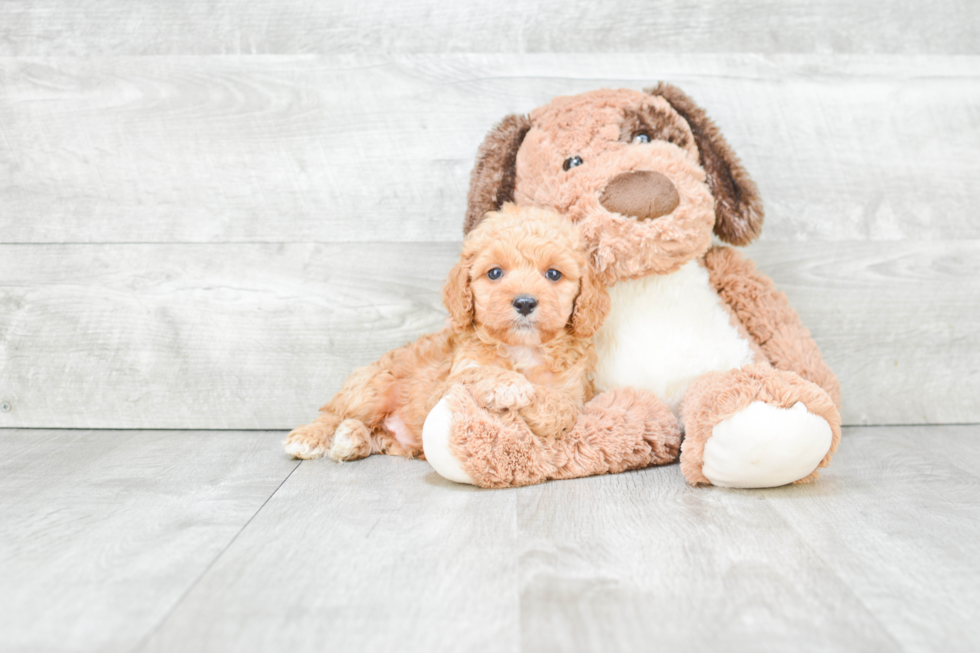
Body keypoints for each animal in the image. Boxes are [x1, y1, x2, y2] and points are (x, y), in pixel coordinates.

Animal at [280, 204, 608, 464]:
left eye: (553, 274)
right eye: (495, 273)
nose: (525, 302)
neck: (523, 348)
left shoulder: (575, 391)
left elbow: (561, 407)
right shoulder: (450, 383)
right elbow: (479, 373)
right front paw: (511, 384)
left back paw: (351, 439)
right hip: (373, 386)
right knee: (333, 411)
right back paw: (310, 437)